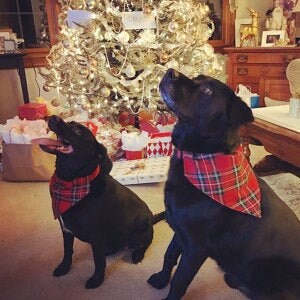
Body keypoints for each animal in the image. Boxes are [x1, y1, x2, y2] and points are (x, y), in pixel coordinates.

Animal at [32, 116, 164, 290]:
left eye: (78, 131)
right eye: (70, 122)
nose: (52, 117)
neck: (71, 182)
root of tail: (151, 218)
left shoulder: (96, 235)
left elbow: (98, 261)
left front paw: (97, 280)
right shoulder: (66, 230)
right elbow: (67, 252)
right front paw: (64, 268)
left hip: (139, 235)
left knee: (145, 244)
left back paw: (137, 254)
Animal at [148, 68, 300, 300]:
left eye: (207, 91)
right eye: (197, 77)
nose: (170, 71)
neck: (201, 157)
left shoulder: (196, 247)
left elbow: (179, 282)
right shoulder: (181, 231)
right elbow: (169, 256)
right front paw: (160, 279)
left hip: (263, 271)